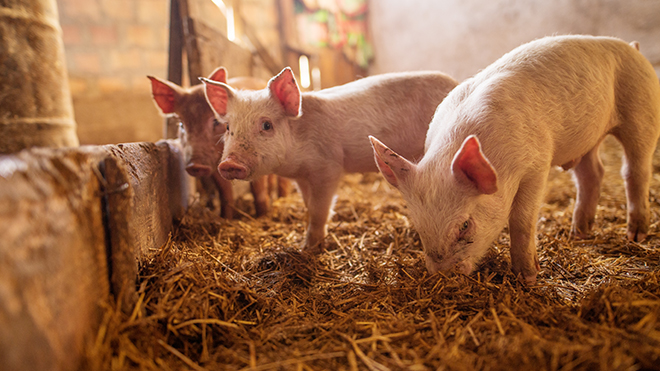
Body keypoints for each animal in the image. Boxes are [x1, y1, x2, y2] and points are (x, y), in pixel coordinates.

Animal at [148, 67, 290, 218]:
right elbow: (224, 192)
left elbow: (258, 190)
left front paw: (261, 216)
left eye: (215, 121)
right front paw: (225, 217)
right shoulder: (216, 166)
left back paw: (282, 199)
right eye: (181, 124)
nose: (195, 165)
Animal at [202, 68, 458, 251]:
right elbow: (308, 205)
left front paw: (309, 249)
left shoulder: (328, 167)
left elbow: (318, 209)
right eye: (228, 127)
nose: (229, 164)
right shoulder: (302, 178)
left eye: (266, 125)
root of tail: (455, 82)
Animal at [372, 35, 660, 284]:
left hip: (642, 111)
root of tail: (632, 48)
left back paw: (636, 235)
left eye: (464, 226)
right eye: (418, 225)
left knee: (636, 170)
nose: (443, 275)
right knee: (593, 174)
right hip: (586, 138)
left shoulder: (536, 166)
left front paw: (528, 278)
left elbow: (521, 220)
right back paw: (579, 233)